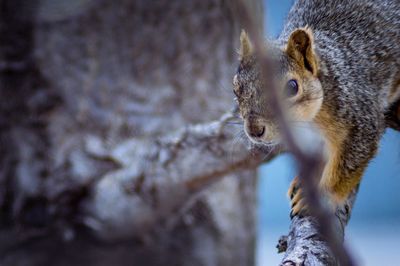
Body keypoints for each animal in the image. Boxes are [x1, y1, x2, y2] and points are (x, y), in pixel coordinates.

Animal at [233, 0, 400, 216]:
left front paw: (321, 197)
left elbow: (348, 163)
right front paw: (305, 183)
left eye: (292, 87)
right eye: (236, 87)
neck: (309, 120)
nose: (254, 130)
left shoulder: (360, 116)